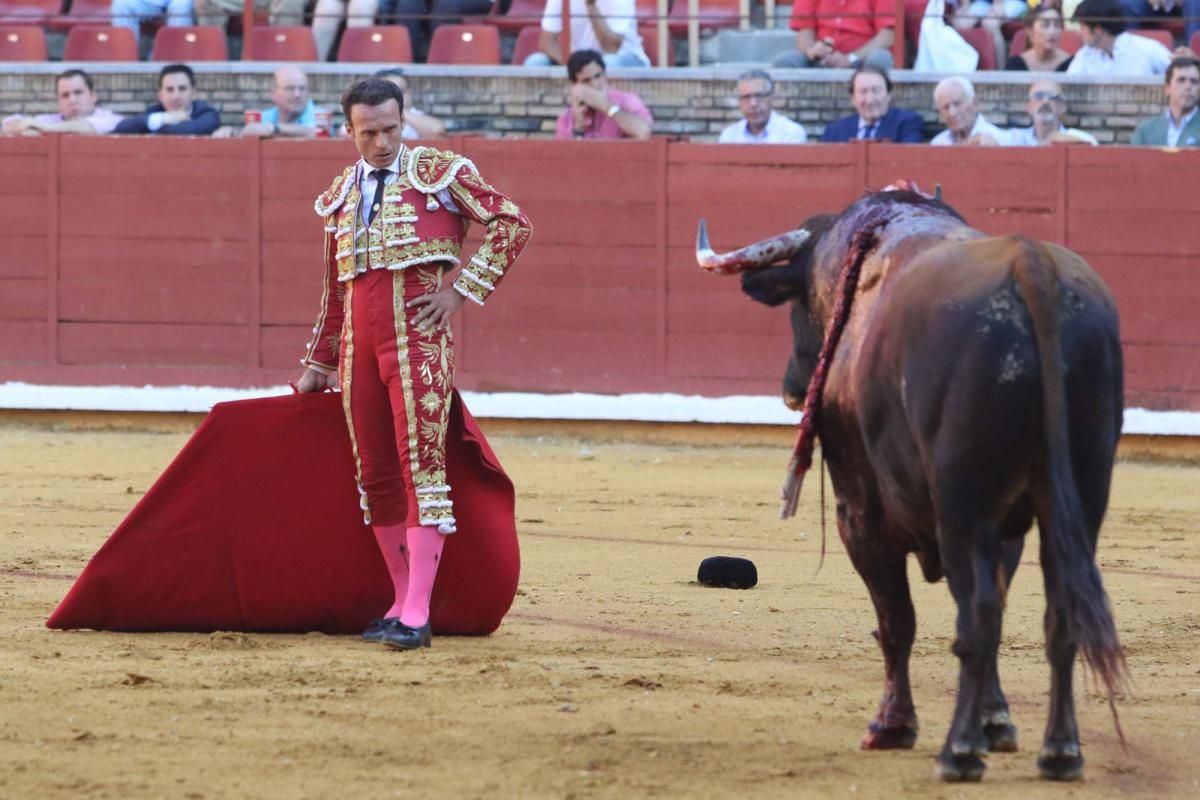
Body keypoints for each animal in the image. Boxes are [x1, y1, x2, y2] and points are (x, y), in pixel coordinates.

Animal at [696, 185, 1123, 782]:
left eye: (798, 304)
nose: (791, 387)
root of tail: (1031, 266)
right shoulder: (1008, 529)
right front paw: (996, 721)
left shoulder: (861, 512)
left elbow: (897, 619)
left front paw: (893, 725)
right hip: (1081, 498)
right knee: (1060, 614)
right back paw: (1061, 752)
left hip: (963, 507)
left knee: (977, 617)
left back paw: (958, 752)